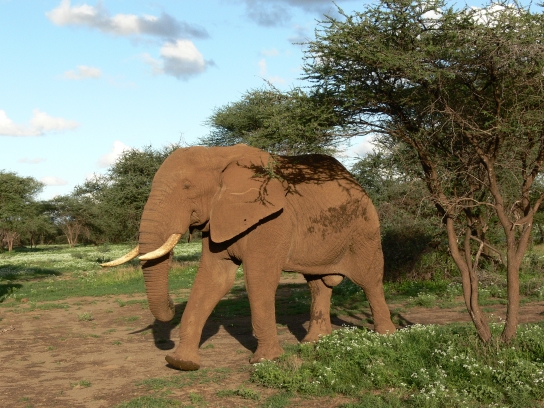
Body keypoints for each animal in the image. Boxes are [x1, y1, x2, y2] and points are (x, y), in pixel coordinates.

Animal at [102, 144, 396, 370]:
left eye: (186, 186)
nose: (173, 305)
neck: (218, 155)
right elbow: (213, 280)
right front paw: (181, 363)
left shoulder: (273, 220)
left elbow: (259, 280)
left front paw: (265, 361)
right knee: (318, 284)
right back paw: (313, 343)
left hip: (365, 229)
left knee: (370, 281)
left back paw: (387, 336)